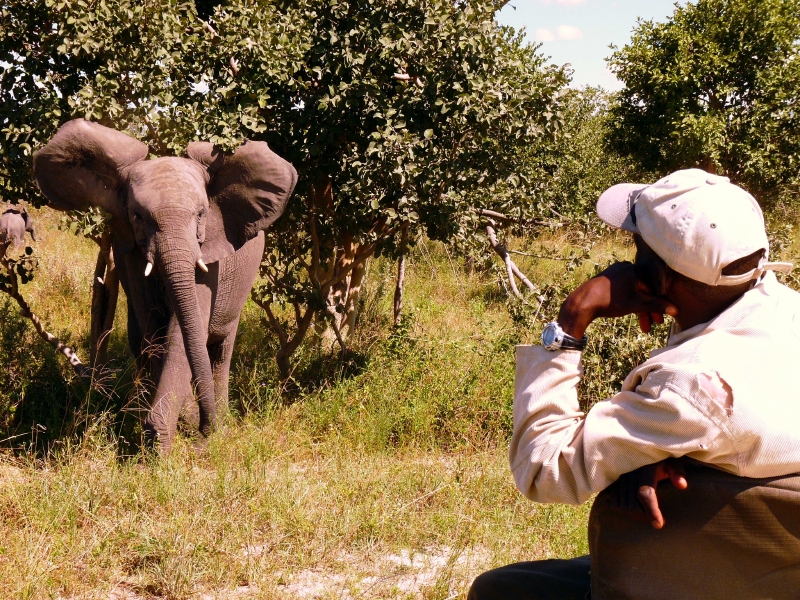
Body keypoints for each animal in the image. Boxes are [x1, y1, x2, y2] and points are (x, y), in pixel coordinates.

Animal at [33, 119, 297, 451]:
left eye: (201, 215)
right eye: (137, 216)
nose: (206, 431)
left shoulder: (209, 260)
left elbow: (179, 334)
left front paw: (166, 440)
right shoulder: (129, 254)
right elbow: (156, 330)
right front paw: (161, 438)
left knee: (220, 350)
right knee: (143, 341)